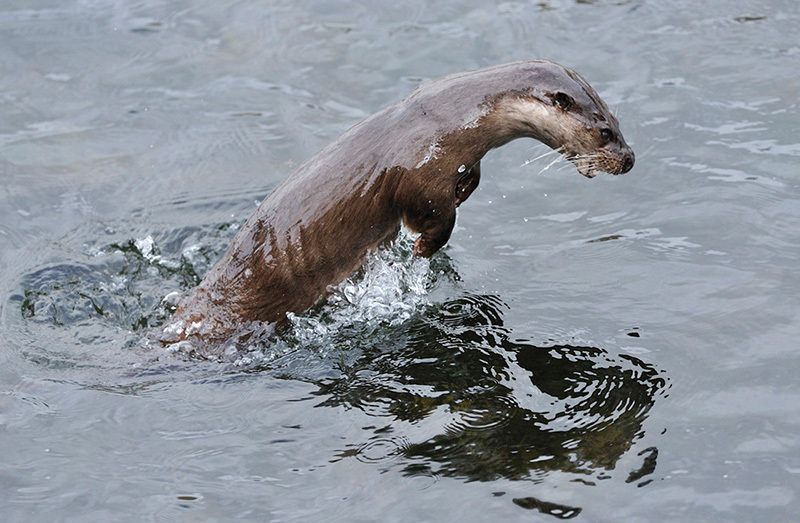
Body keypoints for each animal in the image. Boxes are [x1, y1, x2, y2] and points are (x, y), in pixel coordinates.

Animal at [161, 59, 636, 352]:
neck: (456, 118)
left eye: (618, 122)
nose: (630, 159)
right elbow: (436, 217)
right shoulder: (423, 170)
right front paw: (422, 248)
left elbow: (470, 182)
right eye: (605, 133)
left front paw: (466, 189)